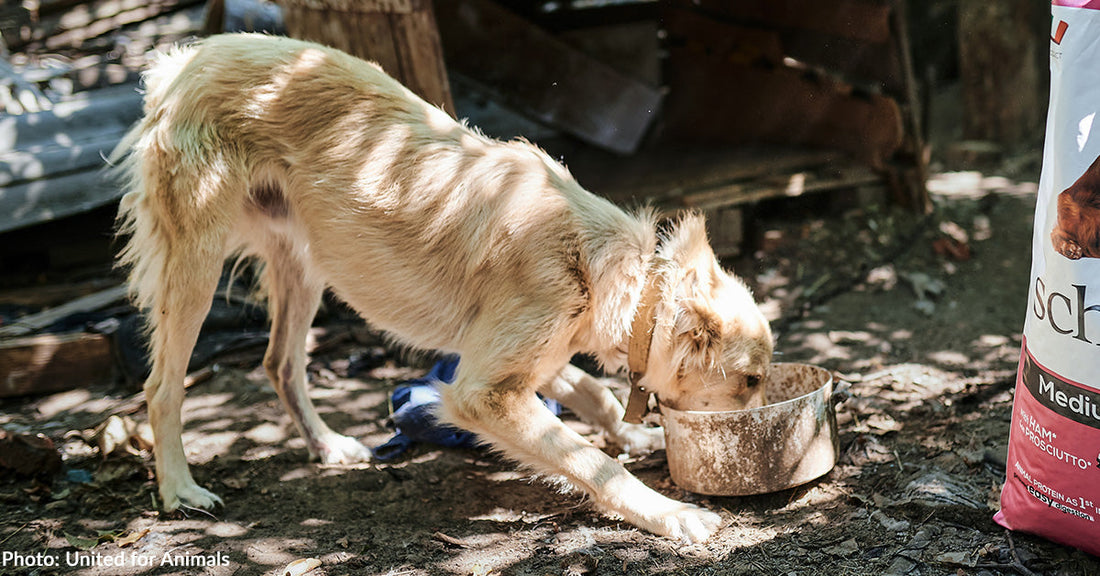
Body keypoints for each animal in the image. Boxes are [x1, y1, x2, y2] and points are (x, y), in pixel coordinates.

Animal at [116, 33, 774, 543]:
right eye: (751, 382)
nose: (762, 440)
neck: (604, 269)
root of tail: (187, 60)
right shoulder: (482, 391)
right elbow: (590, 460)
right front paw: (672, 514)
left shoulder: (520, 358)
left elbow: (596, 393)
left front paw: (630, 431)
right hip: (197, 267)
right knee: (161, 387)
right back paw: (179, 489)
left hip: (303, 263)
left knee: (280, 363)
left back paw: (327, 447)